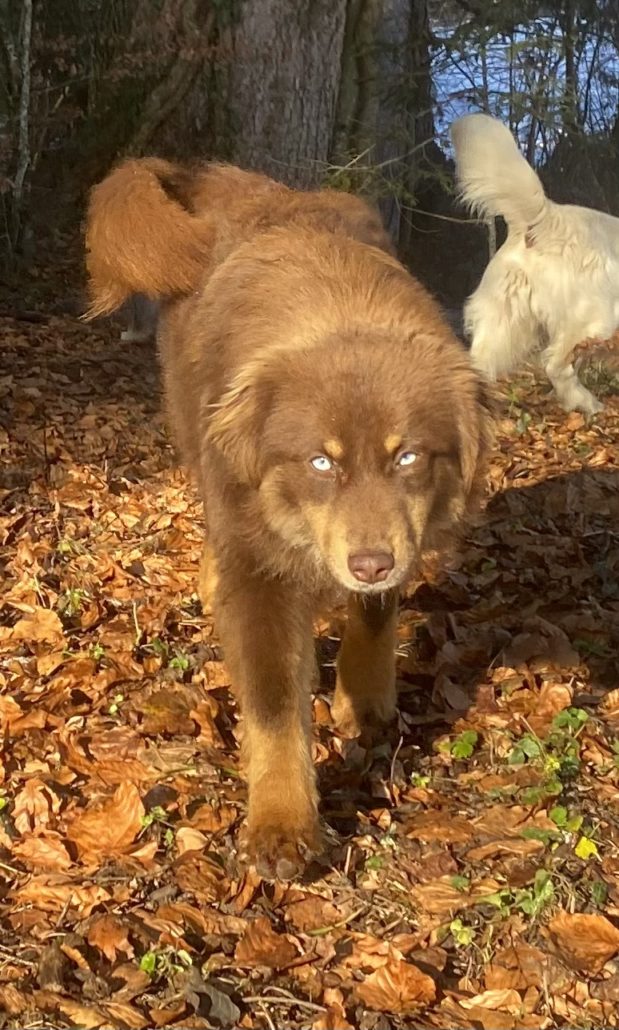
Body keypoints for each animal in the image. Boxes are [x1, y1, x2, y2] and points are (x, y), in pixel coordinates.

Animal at [85, 159, 493, 880]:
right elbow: (275, 704)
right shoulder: (261, 571)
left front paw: (363, 698)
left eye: (408, 456)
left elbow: (374, 614)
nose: (369, 563)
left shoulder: (390, 540)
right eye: (320, 462)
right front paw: (282, 824)